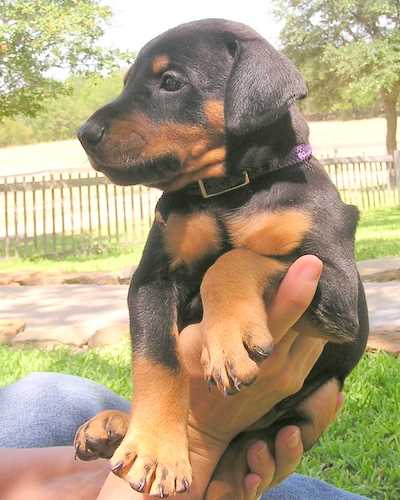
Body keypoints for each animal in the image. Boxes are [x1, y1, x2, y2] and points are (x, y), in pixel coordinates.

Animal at [74, 17, 368, 498]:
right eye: (127, 82)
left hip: (321, 401)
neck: (227, 190)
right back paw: (115, 426)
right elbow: (157, 358)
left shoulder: (340, 289)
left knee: (239, 459)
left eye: (171, 82)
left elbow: (234, 260)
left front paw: (230, 340)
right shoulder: (152, 280)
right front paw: (155, 449)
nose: (84, 134)